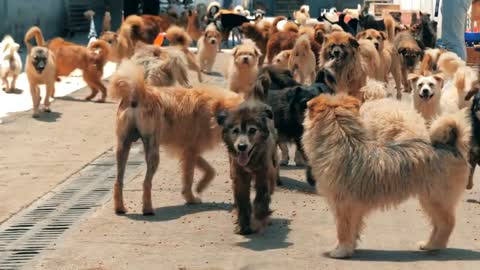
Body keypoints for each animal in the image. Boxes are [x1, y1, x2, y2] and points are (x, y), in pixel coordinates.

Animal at [110, 60, 242, 214]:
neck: (215, 108)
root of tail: (139, 92)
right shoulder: (190, 152)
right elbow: (190, 178)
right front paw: (191, 197)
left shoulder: (188, 150)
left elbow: (209, 169)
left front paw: (200, 186)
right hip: (152, 151)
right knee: (146, 182)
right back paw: (148, 209)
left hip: (123, 148)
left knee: (118, 181)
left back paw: (120, 207)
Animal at [215, 99, 278, 234]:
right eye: (235, 131)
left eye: (252, 130)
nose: (242, 147)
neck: (252, 159)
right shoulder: (239, 176)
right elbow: (242, 200)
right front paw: (243, 225)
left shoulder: (264, 174)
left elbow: (262, 198)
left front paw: (258, 221)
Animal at [302, 94, 470, 258]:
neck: (344, 141)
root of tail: (450, 145)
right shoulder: (354, 208)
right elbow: (354, 229)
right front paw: (351, 247)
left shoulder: (344, 205)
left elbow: (343, 230)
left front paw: (341, 250)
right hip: (430, 200)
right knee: (438, 224)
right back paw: (428, 244)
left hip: (435, 199)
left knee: (447, 223)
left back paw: (435, 245)